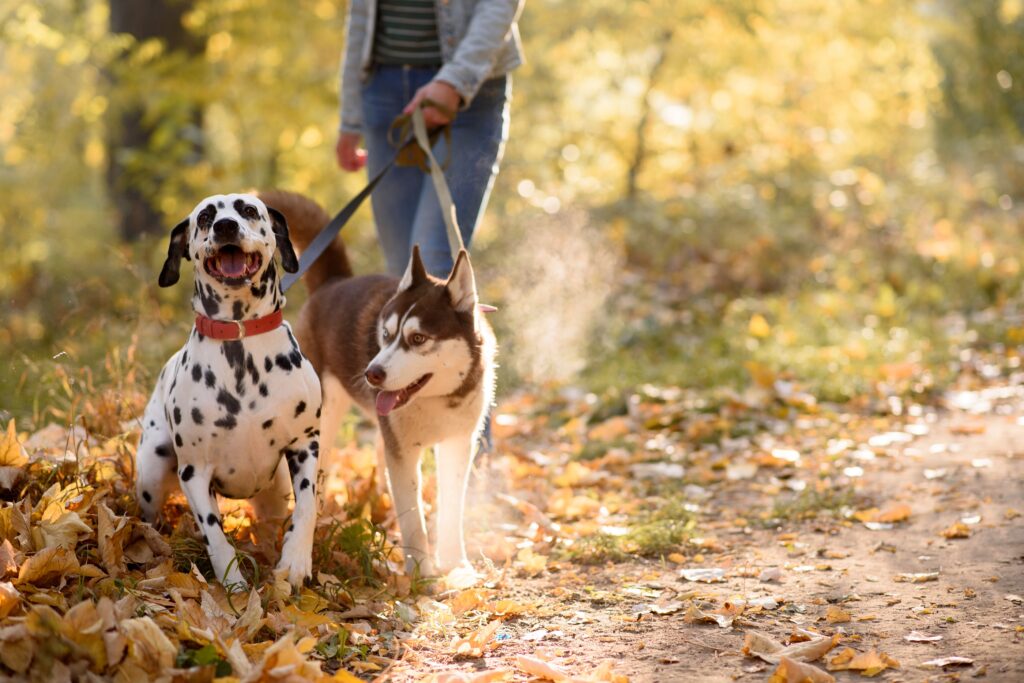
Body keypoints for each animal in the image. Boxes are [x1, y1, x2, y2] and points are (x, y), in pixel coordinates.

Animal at [135, 192, 319, 589]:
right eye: (205, 217)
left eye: (249, 210)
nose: (225, 226)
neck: (240, 339)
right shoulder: (194, 472)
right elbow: (214, 533)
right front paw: (232, 582)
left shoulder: (305, 444)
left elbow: (308, 506)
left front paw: (296, 560)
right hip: (152, 469)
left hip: (277, 489)